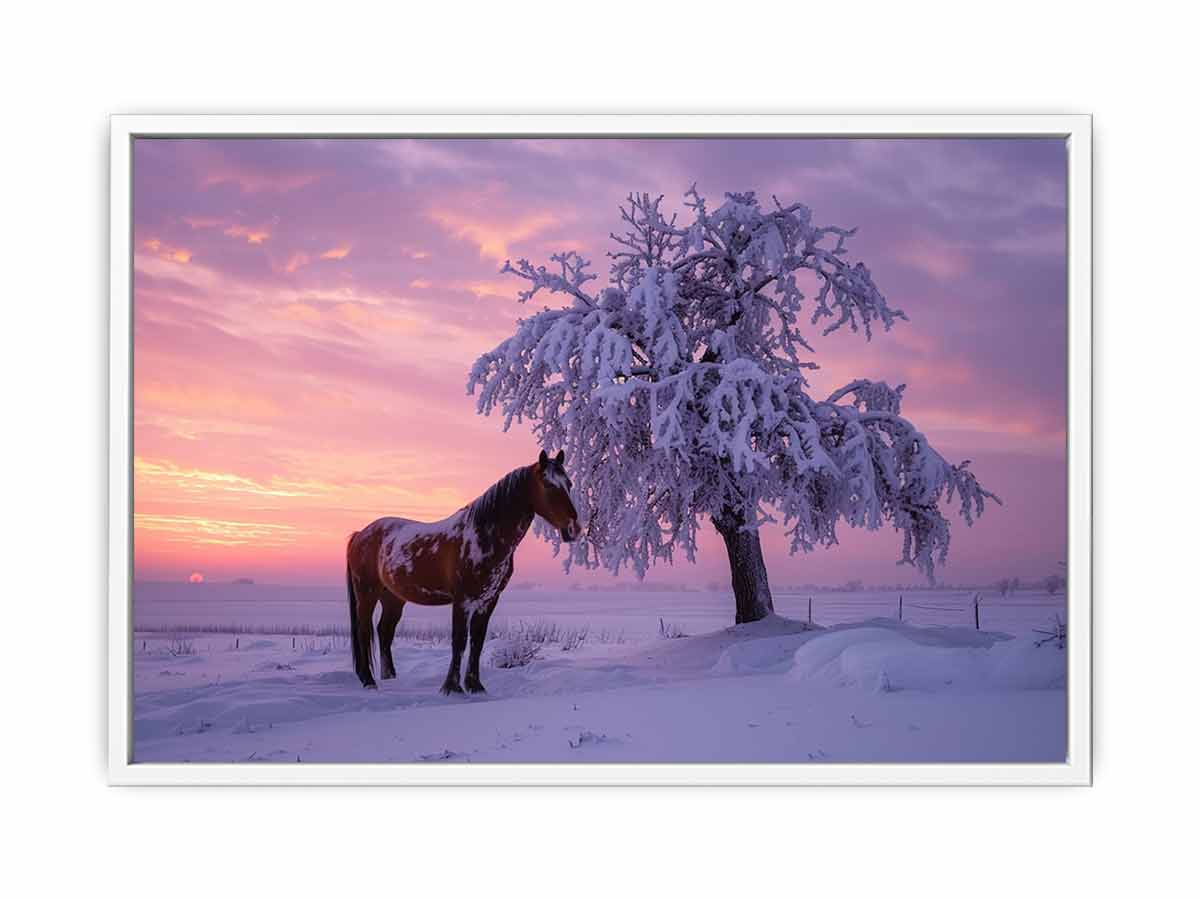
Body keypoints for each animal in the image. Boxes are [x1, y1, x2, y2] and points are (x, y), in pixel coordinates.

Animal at [346, 450, 581, 693]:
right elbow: (459, 641)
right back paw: (368, 680)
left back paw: (390, 677)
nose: (574, 528)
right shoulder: (462, 600)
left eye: (569, 484)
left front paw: (475, 685)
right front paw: (451, 688)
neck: (483, 537)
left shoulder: (488, 600)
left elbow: (477, 641)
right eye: (548, 484)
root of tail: (360, 534)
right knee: (364, 631)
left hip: (393, 598)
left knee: (384, 632)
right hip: (367, 593)